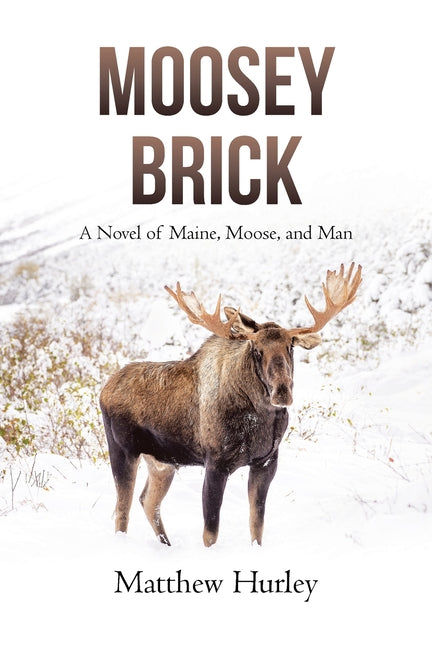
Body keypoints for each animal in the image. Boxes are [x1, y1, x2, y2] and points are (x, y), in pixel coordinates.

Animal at [100, 263, 362, 547]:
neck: (261, 418)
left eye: (290, 346)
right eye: (256, 349)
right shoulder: (216, 463)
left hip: (162, 462)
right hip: (122, 451)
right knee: (121, 512)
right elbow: (210, 532)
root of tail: (104, 389)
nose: (282, 392)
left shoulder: (266, 462)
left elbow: (256, 525)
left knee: (147, 501)